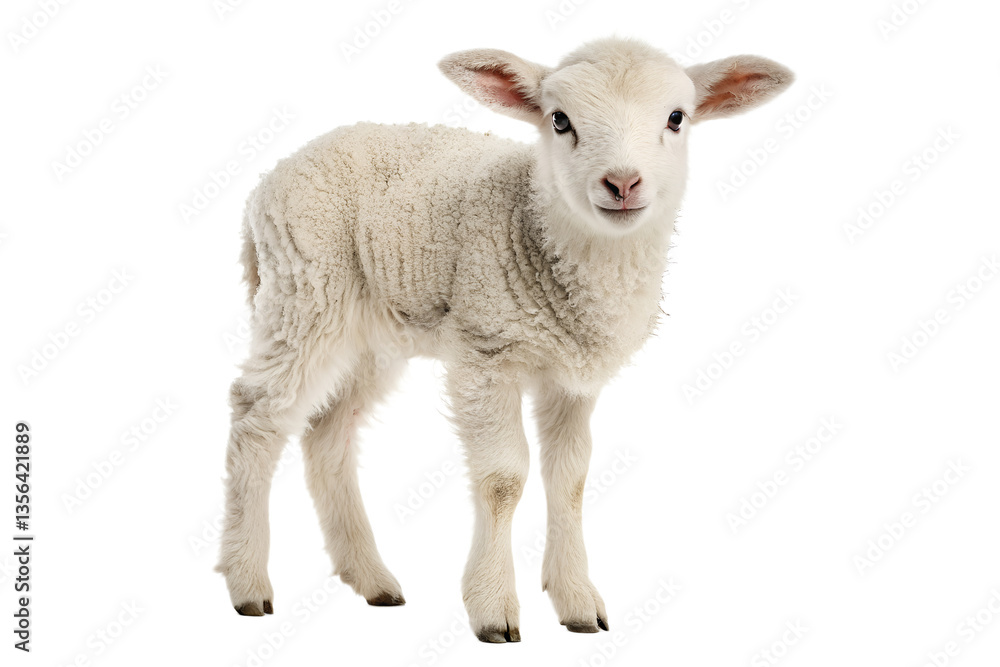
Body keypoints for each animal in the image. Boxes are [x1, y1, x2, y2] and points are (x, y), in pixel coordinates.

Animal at [217, 36, 793, 642]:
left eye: (677, 118)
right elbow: (503, 480)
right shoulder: (485, 352)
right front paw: (494, 608)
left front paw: (577, 601)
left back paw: (371, 578)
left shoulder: (573, 377)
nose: (622, 183)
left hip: (372, 331)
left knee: (329, 433)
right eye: (559, 120)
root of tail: (270, 180)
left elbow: (571, 479)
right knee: (257, 417)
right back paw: (247, 581)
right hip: (305, 291)